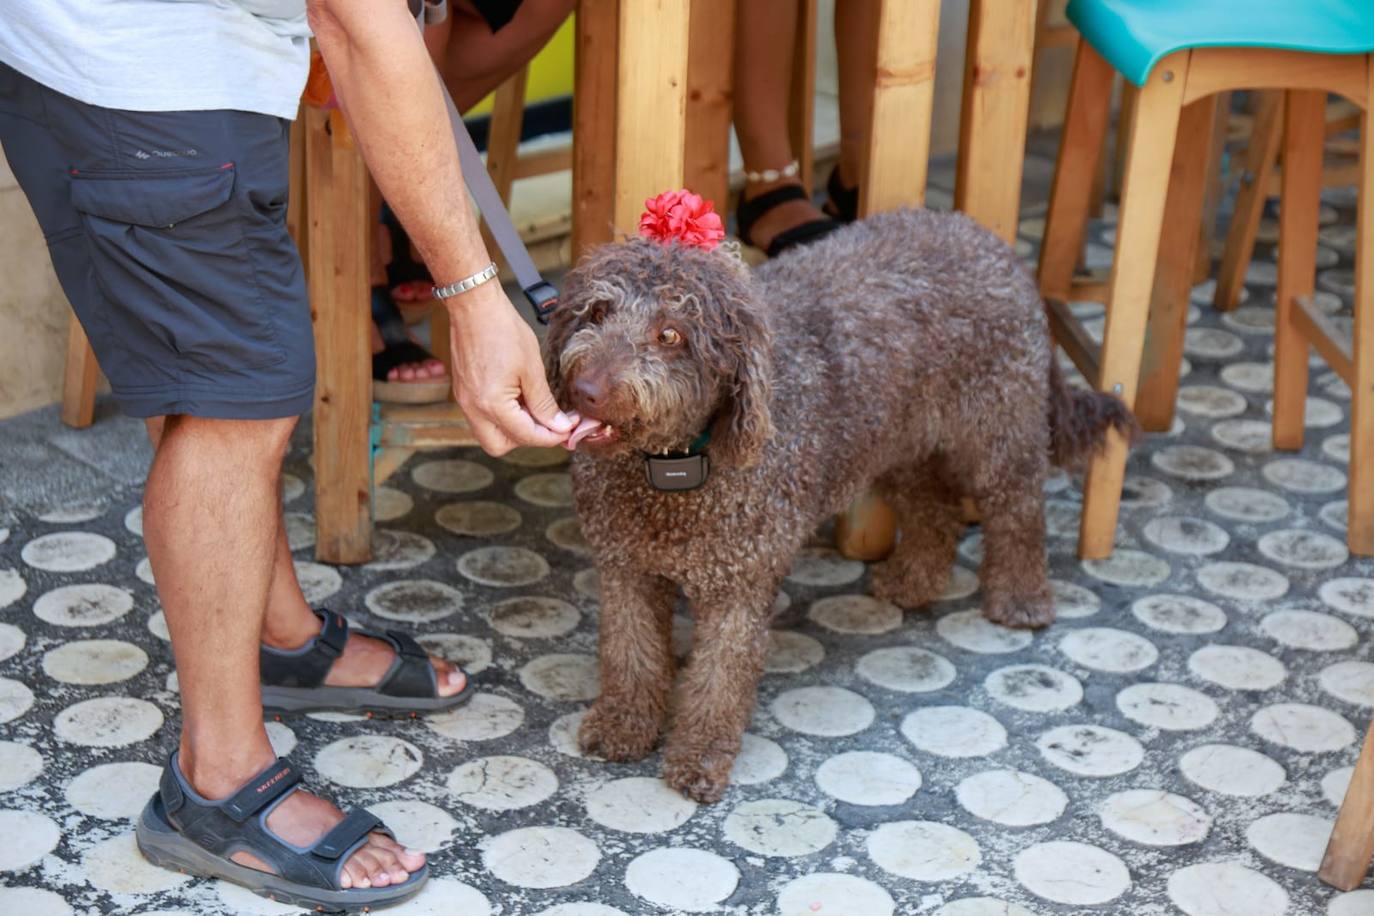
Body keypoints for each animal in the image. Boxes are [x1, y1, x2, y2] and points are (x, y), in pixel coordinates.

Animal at [546, 207, 1137, 802]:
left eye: (670, 333)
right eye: (597, 311)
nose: (587, 388)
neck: (673, 471)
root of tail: (986, 238)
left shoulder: (738, 587)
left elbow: (718, 680)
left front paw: (699, 758)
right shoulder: (626, 571)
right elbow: (631, 655)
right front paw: (622, 726)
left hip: (999, 429)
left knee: (1018, 510)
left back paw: (1021, 600)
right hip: (900, 441)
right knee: (934, 508)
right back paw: (915, 581)